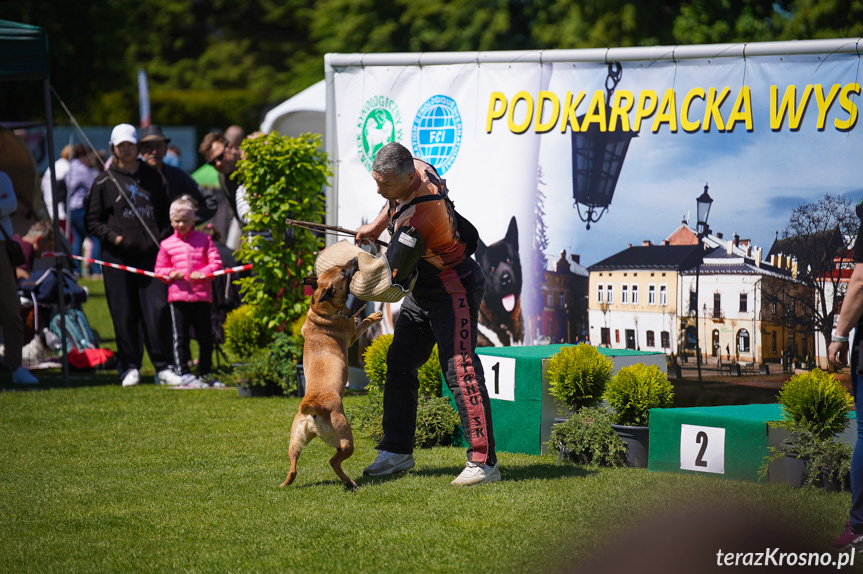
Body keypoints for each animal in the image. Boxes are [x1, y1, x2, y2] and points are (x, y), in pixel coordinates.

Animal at [280, 260, 382, 490]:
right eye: (343, 273)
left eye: (340, 267)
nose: (354, 260)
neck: (321, 313)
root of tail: (313, 408)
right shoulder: (353, 334)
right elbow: (362, 322)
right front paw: (373, 316)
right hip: (346, 439)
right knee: (333, 461)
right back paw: (350, 482)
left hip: (295, 441)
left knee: (293, 466)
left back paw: (286, 483)